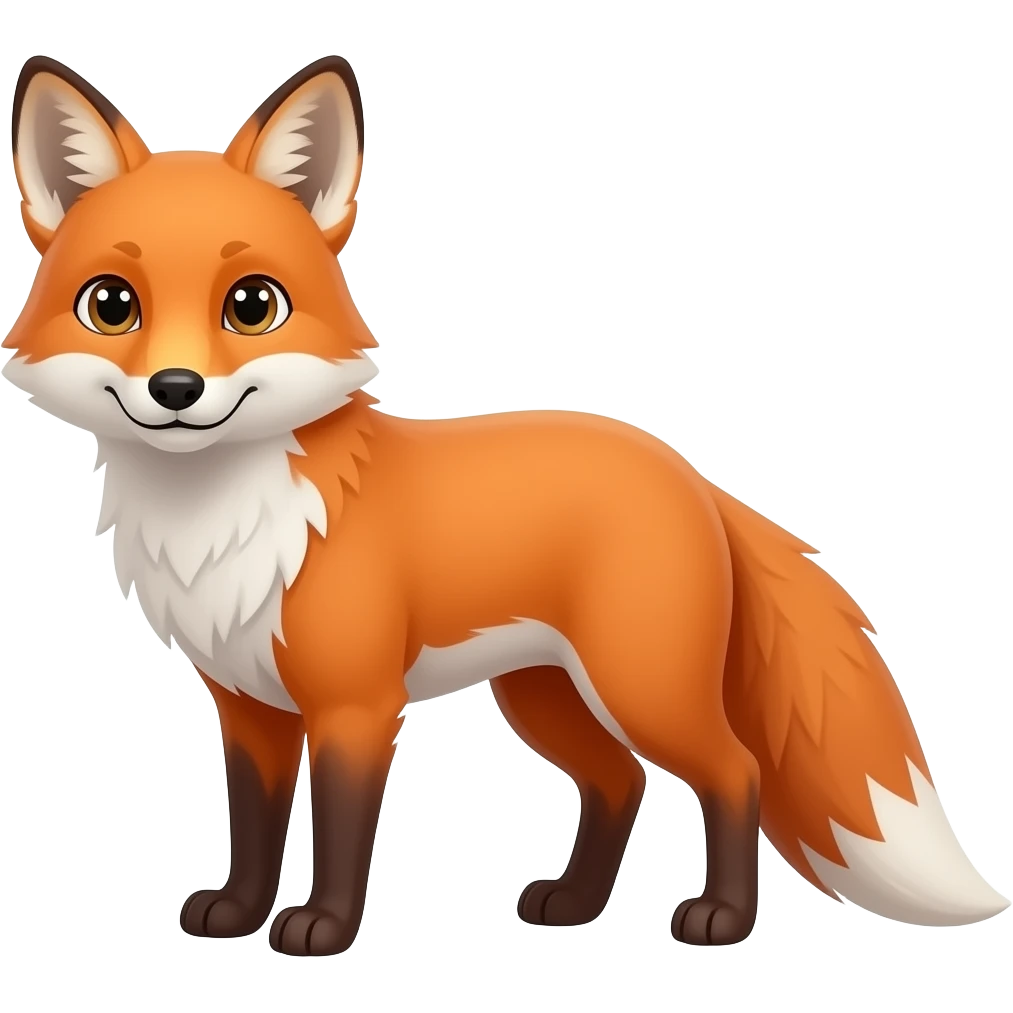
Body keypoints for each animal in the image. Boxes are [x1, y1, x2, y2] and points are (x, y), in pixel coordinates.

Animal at [4, 52, 1009, 957]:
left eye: (252, 305)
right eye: (112, 305)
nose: (176, 389)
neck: (224, 522)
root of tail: (684, 469)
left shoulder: (356, 705)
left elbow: (340, 832)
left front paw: (322, 929)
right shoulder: (249, 705)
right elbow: (251, 825)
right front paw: (237, 913)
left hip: (641, 684)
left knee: (733, 771)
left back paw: (719, 919)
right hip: (545, 695)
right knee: (619, 783)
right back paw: (572, 904)